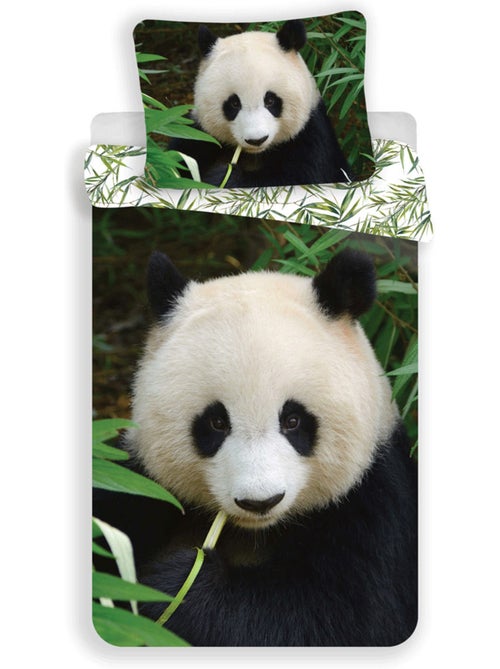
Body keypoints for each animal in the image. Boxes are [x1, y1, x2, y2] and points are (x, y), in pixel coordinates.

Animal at [94, 247, 417, 647]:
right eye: (217, 422)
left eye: (293, 420)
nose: (260, 501)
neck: (255, 531)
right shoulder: (141, 482)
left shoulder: (375, 505)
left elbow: (335, 618)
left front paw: (176, 585)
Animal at [168, 20, 352, 188]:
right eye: (234, 103)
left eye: (270, 100)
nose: (256, 140)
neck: (254, 154)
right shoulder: (198, 134)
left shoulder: (311, 137)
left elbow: (297, 179)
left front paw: (223, 177)